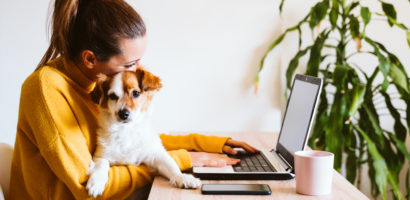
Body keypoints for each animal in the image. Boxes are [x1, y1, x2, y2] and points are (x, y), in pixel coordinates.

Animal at [87, 68, 202, 198]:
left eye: (136, 93)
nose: (123, 114)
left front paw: (183, 178)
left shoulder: (156, 154)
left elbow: (171, 165)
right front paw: (96, 182)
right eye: (112, 96)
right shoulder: (101, 155)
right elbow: (100, 165)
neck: (126, 130)